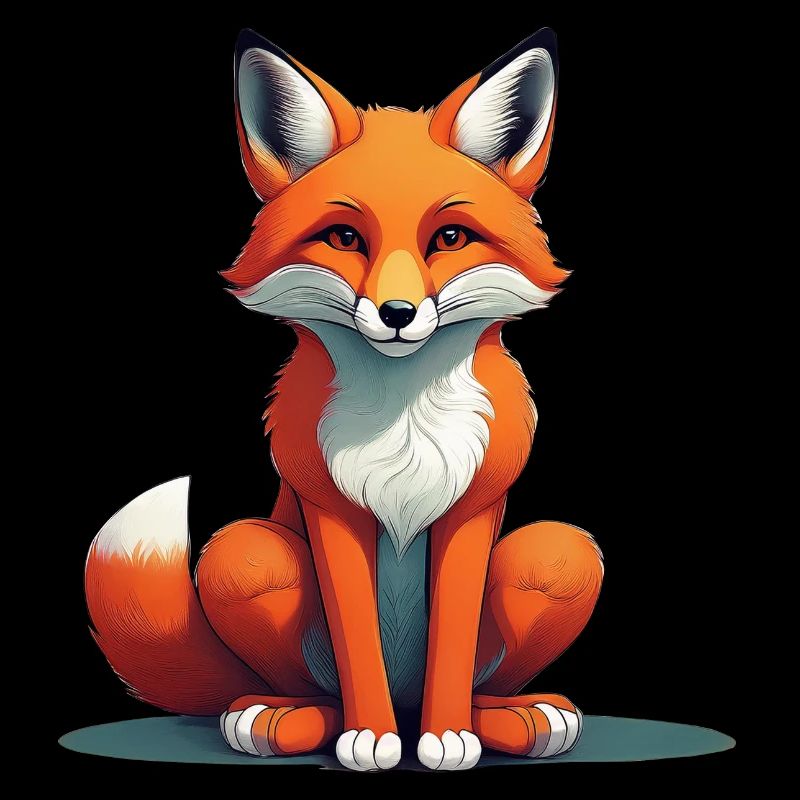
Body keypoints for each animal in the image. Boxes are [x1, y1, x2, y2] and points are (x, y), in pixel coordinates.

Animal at [85, 27, 603, 771]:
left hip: (559, 557)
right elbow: (356, 636)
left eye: (449, 238)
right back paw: (283, 717)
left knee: (493, 664)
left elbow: (451, 641)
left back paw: (510, 717)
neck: (404, 420)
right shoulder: (332, 509)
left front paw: (450, 737)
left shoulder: (470, 510)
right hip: (245, 556)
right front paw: (372, 738)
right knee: (303, 688)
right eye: (344, 238)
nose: (397, 313)